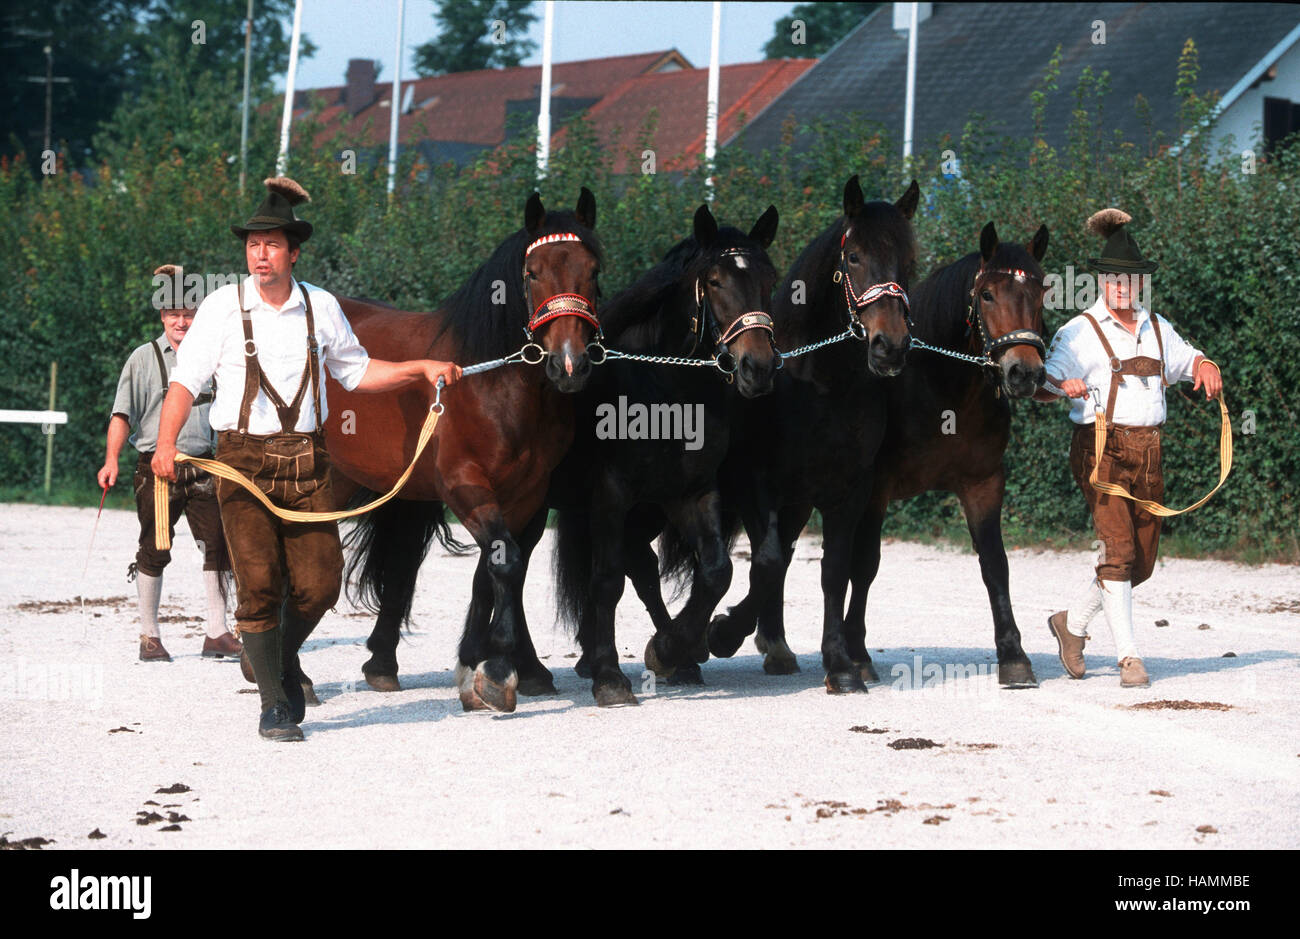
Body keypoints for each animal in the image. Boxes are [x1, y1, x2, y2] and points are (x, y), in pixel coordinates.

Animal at [324, 188, 604, 713]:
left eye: (593, 270)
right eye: (532, 273)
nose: (569, 365)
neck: (495, 382)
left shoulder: (527, 496)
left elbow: (498, 569)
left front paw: (485, 665)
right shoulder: (465, 483)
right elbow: (505, 562)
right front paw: (496, 670)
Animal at [547, 202, 782, 707]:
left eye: (770, 279)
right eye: (714, 280)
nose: (758, 368)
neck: (664, 393)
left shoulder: (691, 493)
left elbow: (717, 571)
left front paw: (673, 647)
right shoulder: (611, 496)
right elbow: (606, 580)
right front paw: (611, 676)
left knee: (644, 569)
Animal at [690, 175, 920, 694]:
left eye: (909, 260)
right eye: (853, 256)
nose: (890, 347)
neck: (820, 383)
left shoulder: (849, 488)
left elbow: (832, 571)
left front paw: (839, 664)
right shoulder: (755, 481)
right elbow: (767, 561)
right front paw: (720, 634)